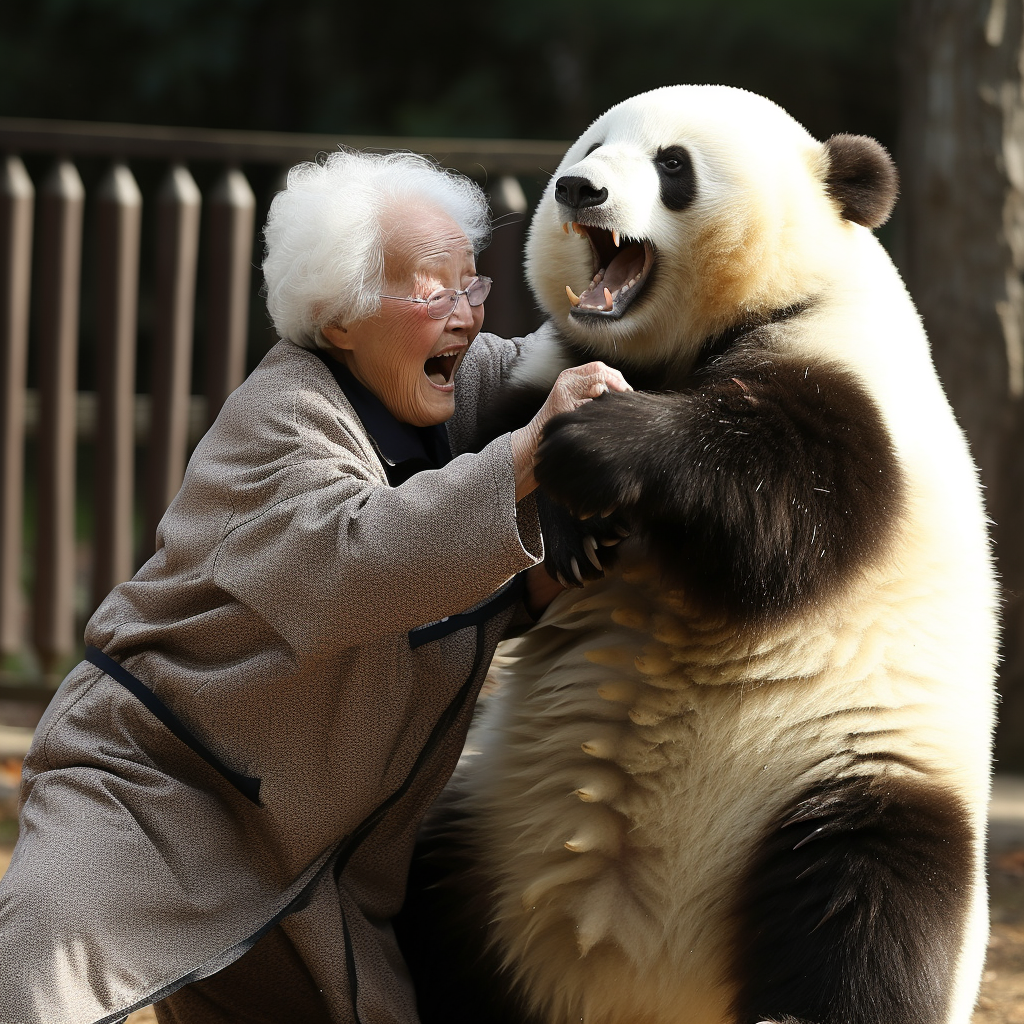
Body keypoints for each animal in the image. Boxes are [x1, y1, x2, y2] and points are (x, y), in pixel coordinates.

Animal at [393, 86, 999, 1024]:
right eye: (594, 146)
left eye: (672, 165)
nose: (577, 190)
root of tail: (651, 986)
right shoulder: (550, 357)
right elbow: (486, 455)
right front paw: (565, 521)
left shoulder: (853, 384)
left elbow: (783, 513)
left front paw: (601, 448)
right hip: (489, 821)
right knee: (436, 891)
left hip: (851, 776)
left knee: (869, 907)